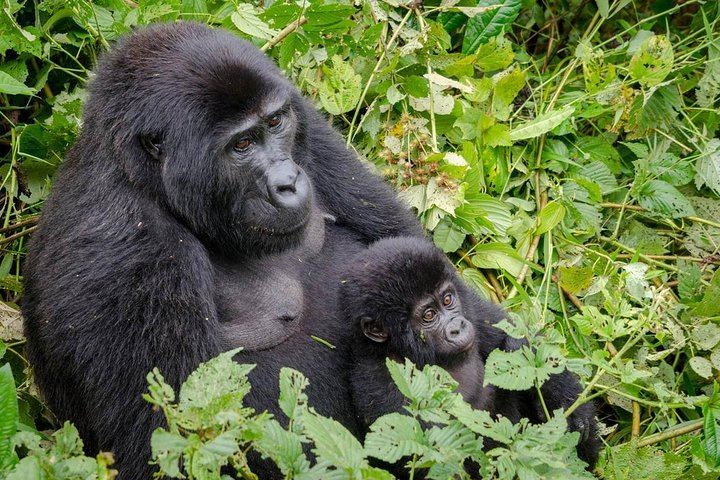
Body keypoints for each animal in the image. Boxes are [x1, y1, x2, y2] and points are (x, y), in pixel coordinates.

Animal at [23, 23, 422, 480]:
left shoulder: (307, 123)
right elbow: (169, 445)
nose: (288, 182)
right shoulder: (127, 249)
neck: (144, 179)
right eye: (242, 145)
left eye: (275, 122)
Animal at [340, 238, 600, 470]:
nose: (458, 326)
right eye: (428, 315)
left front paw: (569, 405)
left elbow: (519, 341)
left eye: (447, 299)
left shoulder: (470, 305)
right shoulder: (380, 386)